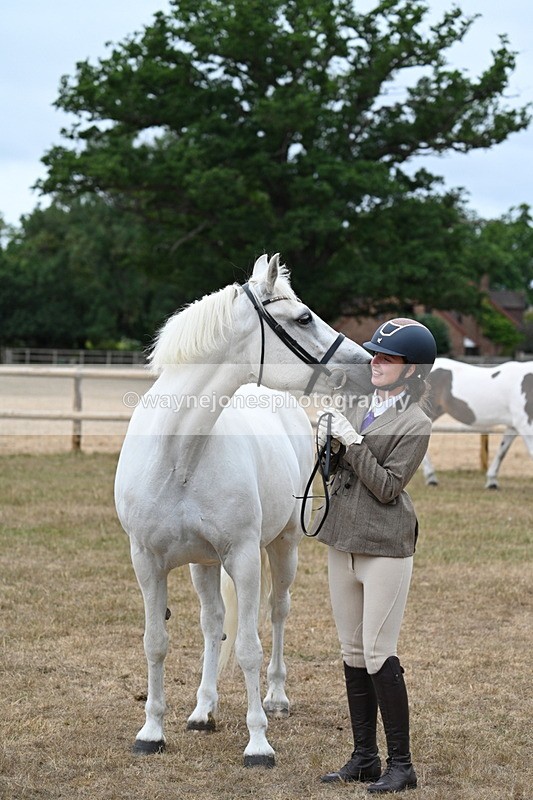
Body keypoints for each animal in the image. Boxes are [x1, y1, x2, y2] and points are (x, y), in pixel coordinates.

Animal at [114, 253, 370, 767]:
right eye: (304, 318)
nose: (366, 364)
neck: (179, 456)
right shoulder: (147, 562)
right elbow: (156, 643)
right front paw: (152, 732)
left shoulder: (246, 557)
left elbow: (250, 648)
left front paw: (258, 743)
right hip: (203, 564)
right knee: (214, 625)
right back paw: (203, 709)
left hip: (282, 549)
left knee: (276, 613)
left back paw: (276, 698)